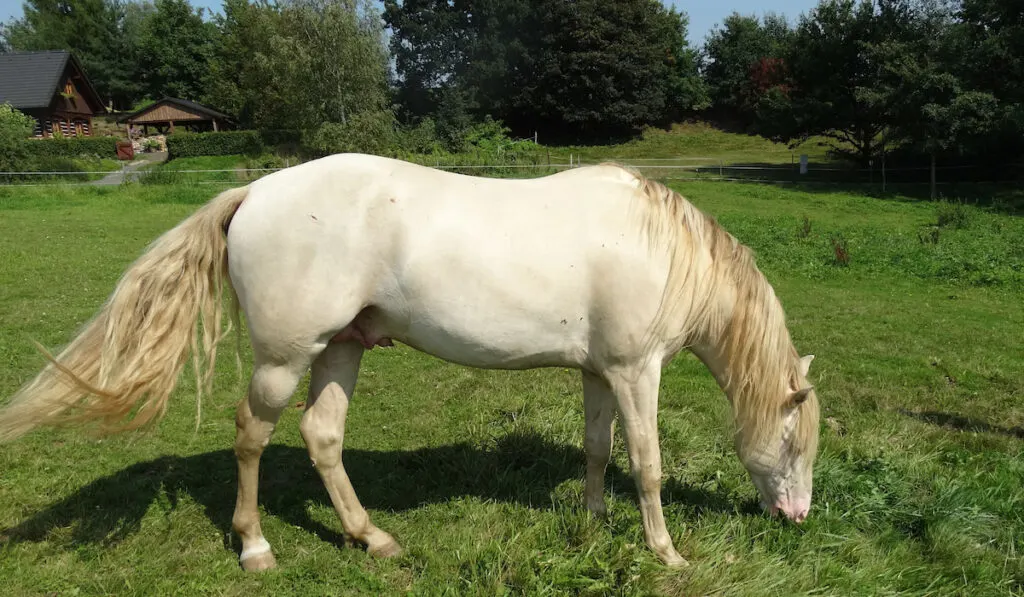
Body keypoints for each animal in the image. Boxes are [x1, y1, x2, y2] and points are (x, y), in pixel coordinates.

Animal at [0, 154, 819, 569]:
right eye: (796, 441)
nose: (798, 516)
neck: (662, 247)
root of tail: (254, 192)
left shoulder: (598, 372)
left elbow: (597, 449)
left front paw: (590, 522)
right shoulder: (634, 370)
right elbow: (646, 463)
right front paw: (666, 554)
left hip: (339, 350)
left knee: (322, 436)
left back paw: (373, 538)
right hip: (283, 360)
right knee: (252, 437)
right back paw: (256, 546)